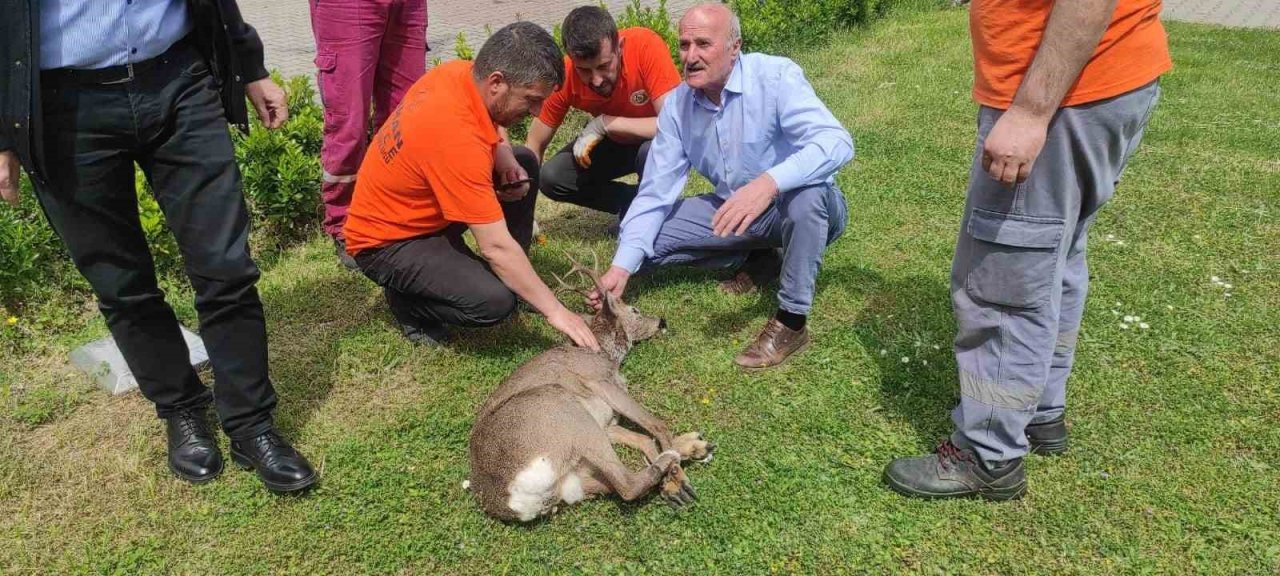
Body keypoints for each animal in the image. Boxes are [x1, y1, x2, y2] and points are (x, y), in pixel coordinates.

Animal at [468, 253, 716, 522]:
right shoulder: (599, 381)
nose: (661, 320)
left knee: (614, 484)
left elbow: (644, 439)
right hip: (564, 410)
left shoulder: (607, 422)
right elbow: (654, 424)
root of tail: (512, 502)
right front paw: (677, 477)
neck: (603, 354)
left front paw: (683, 463)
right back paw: (671, 460)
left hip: (574, 477)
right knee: (627, 486)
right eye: (635, 310)